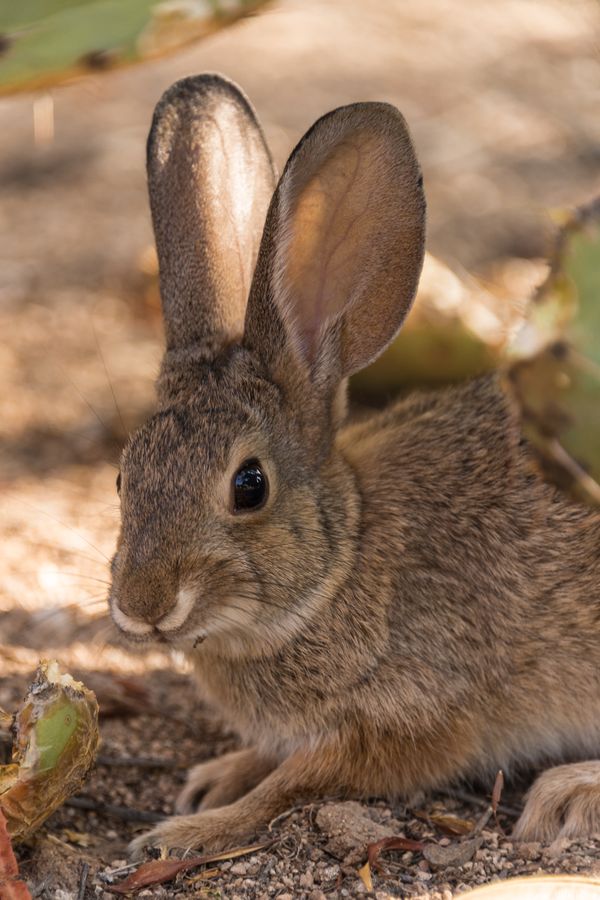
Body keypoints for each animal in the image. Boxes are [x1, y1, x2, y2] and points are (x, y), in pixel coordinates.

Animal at [106, 72, 600, 856]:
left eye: (250, 486)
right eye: (125, 476)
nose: (143, 606)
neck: (341, 566)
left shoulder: (412, 711)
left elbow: (295, 782)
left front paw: (189, 830)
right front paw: (216, 777)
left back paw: (568, 792)